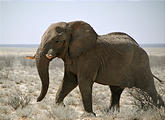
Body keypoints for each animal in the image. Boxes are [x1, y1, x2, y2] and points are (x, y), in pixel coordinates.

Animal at [26, 20, 164, 116]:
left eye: (57, 41)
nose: (37, 100)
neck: (71, 25)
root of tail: (141, 47)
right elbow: (69, 81)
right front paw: (60, 108)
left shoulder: (89, 59)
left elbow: (83, 82)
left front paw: (89, 115)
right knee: (116, 90)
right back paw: (111, 113)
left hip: (141, 65)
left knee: (149, 88)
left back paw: (159, 111)